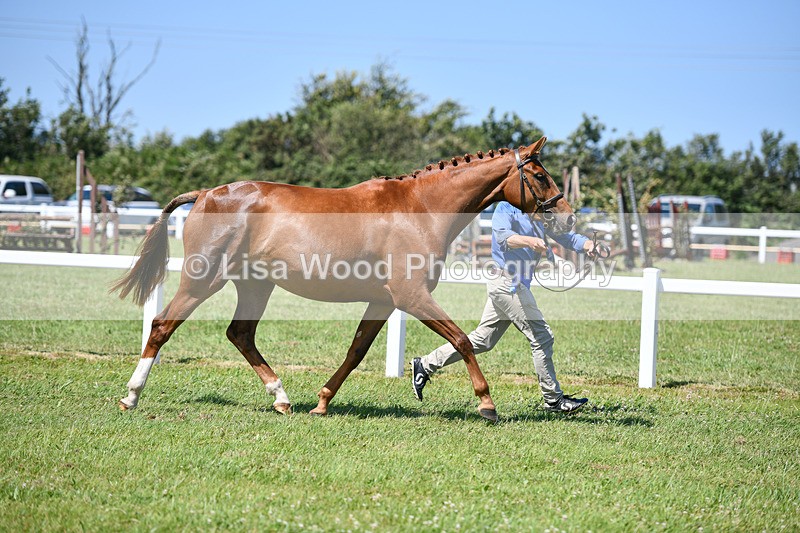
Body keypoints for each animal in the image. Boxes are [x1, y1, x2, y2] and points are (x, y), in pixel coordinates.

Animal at [112, 136, 575, 422]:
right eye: (539, 175)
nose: (567, 216)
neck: (421, 208)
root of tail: (206, 193)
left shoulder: (384, 301)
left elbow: (355, 352)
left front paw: (321, 402)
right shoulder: (412, 296)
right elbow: (461, 340)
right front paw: (487, 404)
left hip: (255, 285)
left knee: (240, 334)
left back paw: (282, 399)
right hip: (203, 280)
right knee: (162, 326)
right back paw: (131, 396)